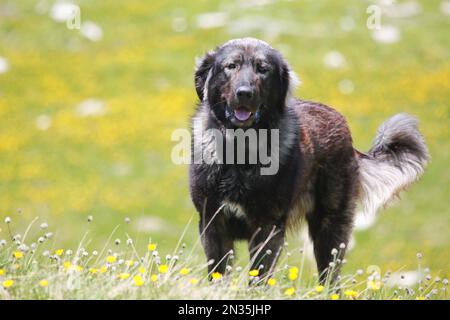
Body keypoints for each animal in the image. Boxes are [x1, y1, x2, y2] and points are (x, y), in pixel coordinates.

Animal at [188, 38, 428, 282]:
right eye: (231, 66)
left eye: (263, 69)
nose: (245, 93)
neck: (240, 151)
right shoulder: (212, 223)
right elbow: (218, 273)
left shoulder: (268, 229)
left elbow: (258, 277)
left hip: (330, 227)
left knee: (330, 277)